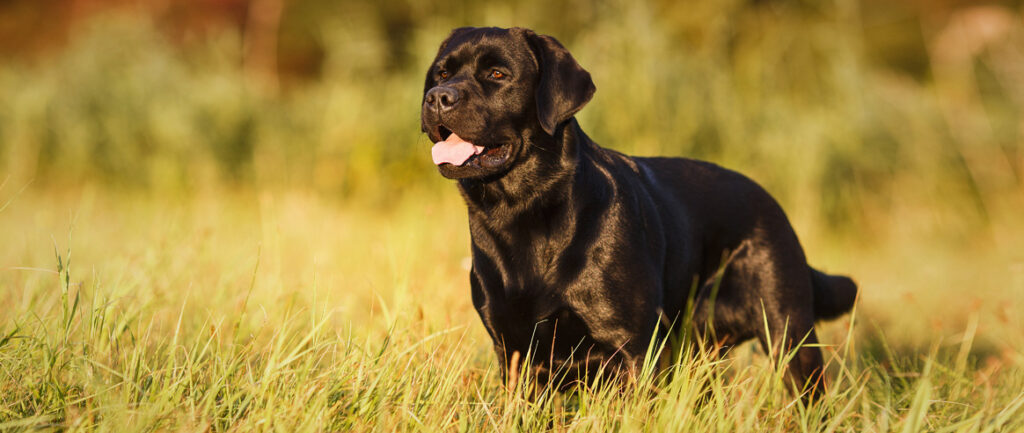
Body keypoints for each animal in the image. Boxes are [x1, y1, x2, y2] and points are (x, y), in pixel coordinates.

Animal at [417, 25, 856, 395]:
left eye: (497, 74)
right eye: (441, 73)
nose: (437, 97)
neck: (523, 213)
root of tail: (772, 202)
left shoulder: (631, 348)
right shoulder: (513, 351)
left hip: (789, 333)